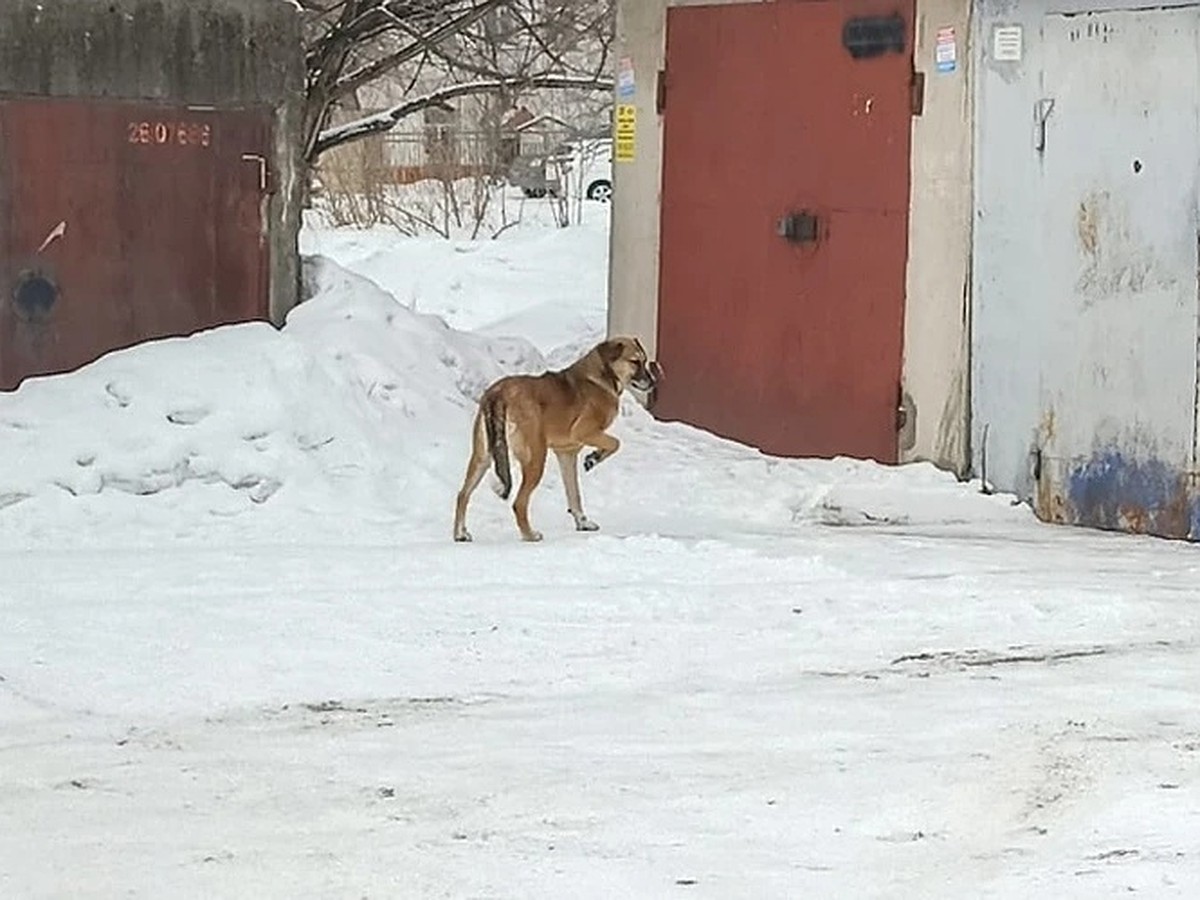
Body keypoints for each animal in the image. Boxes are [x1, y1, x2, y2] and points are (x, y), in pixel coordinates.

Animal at [451, 338, 662, 542]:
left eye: (645, 360)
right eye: (634, 362)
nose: (653, 383)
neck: (602, 376)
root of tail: (499, 392)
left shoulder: (566, 453)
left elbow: (574, 493)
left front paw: (582, 522)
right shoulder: (584, 432)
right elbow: (615, 443)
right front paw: (593, 458)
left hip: (482, 457)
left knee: (463, 494)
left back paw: (460, 533)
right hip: (536, 457)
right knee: (519, 502)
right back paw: (529, 535)